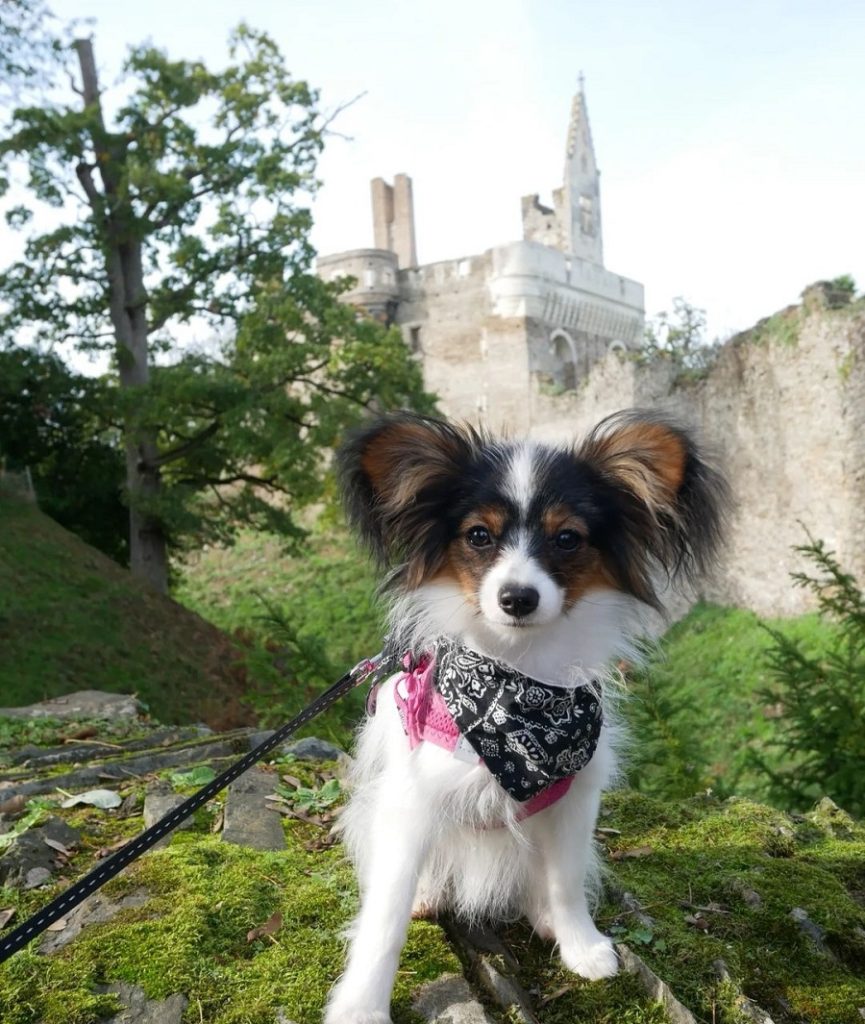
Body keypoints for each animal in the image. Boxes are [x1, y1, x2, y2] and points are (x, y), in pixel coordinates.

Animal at [323, 409, 728, 1024]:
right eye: (478, 536)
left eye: (567, 539)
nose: (517, 597)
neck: (520, 689)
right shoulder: (411, 802)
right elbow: (384, 918)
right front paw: (362, 1006)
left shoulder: (574, 799)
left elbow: (565, 881)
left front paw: (580, 945)